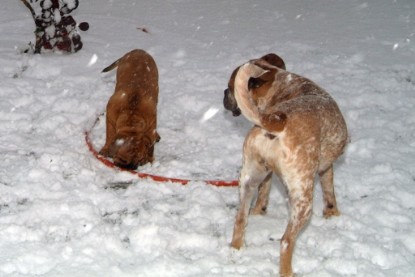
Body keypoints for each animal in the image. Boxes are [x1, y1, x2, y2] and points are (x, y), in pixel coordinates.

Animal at [224, 54, 348, 276]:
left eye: (229, 86)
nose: (223, 93)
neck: (283, 86)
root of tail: (275, 122)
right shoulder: (326, 168)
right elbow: (329, 191)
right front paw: (333, 215)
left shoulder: (267, 174)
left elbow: (263, 194)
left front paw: (260, 211)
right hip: (302, 198)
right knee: (286, 242)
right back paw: (288, 272)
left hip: (248, 179)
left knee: (240, 219)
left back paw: (236, 250)